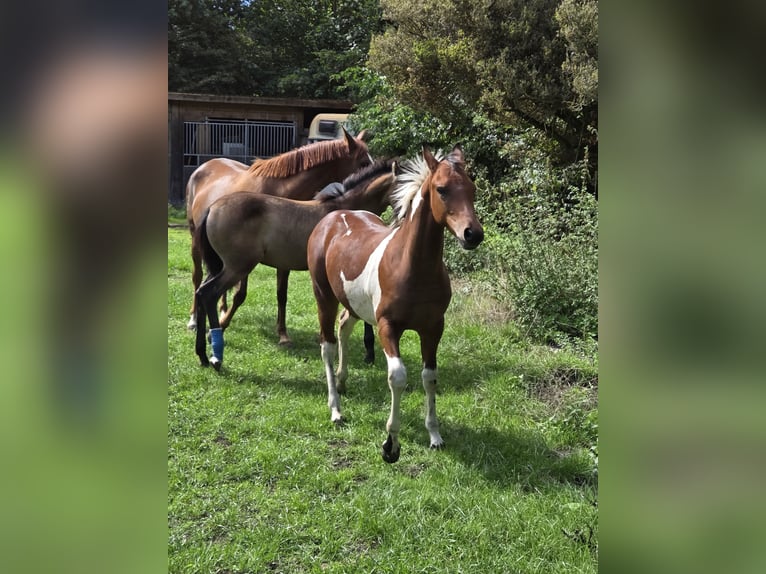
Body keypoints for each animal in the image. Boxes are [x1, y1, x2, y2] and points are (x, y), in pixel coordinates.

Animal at [186, 128, 376, 361]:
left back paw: (221, 309)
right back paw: (194, 320)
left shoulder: (282, 257)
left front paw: (283, 335)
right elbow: (241, 294)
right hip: (197, 241)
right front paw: (223, 325)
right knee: (197, 279)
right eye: (363, 162)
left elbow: (281, 295)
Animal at [307, 145, 484, 463]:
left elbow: (429, 377)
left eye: (472, 189)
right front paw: (391, 444)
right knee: (327, 346)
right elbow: (398, 377)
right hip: (323, 296)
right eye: (442, 189)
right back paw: (336, 409)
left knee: (344, 326)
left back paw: (342, 381)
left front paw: (435, 436)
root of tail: (333, 217)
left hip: (353, 303)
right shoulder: (388, 327)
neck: (411, 267)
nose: (472, 234)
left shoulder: (433, 328)